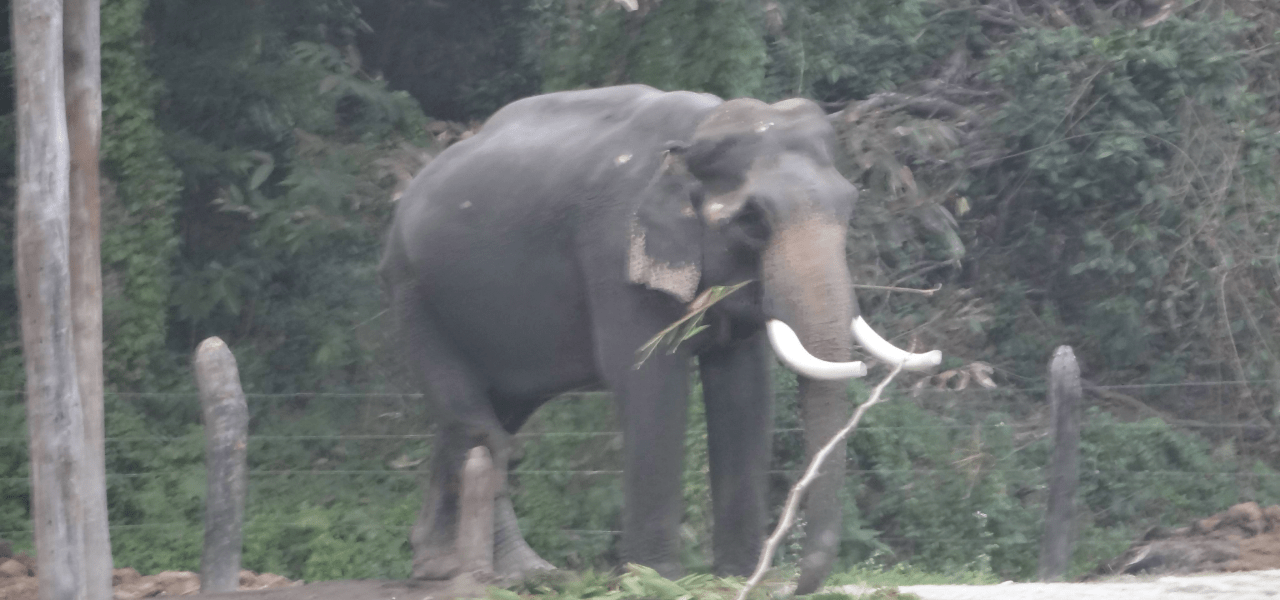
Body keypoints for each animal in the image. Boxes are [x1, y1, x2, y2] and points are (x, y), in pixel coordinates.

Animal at [378, 84, 941, 592]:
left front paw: (734, 577)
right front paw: (656, 579)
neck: (692, 138)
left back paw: (454, 569)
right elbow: (651, 382)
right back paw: (505, 574)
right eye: (752, 220)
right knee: (481, 430)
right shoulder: (614, 250)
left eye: (849, 205)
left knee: (489, 418)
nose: (789, 582)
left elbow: (744, 390)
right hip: (413, 294)